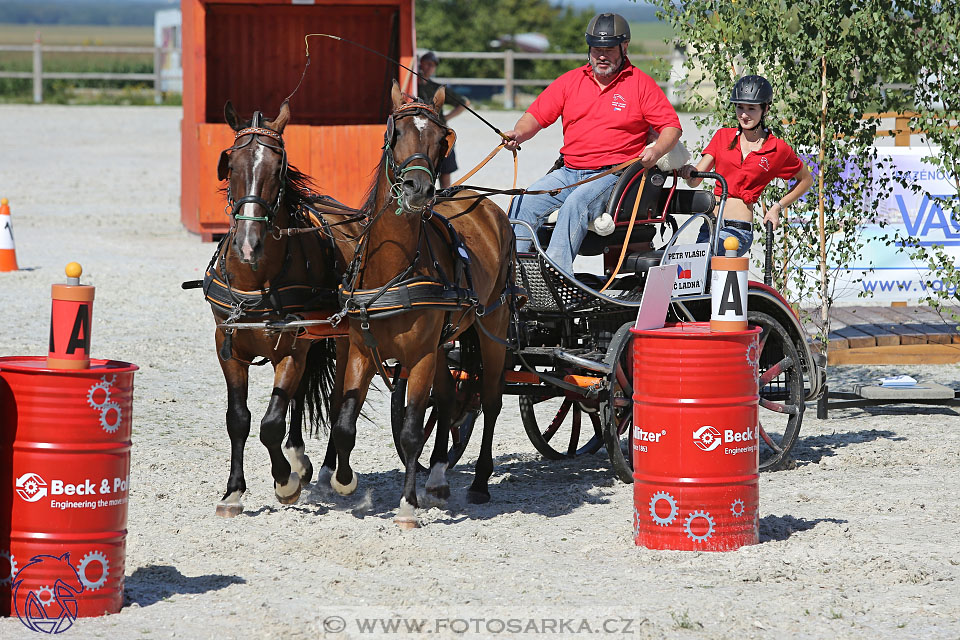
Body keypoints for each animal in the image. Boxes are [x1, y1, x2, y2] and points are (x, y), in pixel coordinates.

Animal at [207, 101, 344, 520]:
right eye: (231, 165)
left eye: (278, 168)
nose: (249, 243)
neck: (257, 279)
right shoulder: (228, 345)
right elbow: (238, 419)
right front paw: (233, 492)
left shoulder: (292, 347)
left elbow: (270, 423)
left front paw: (285, 483)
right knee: (298, 396)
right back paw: (299, 456)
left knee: (336, 400)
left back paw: (327, 471)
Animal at [328, 82, 516, 528]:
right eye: (394, 134)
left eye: (441, 139)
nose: (419, 189)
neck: (392, 270)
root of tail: (486, 204)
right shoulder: (362, 351)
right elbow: (345, 424)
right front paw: (345, 484)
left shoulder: (419, 356)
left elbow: (413, 429)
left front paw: (407, 506)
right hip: (442, 346)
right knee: (448, 399)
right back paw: (438, 476)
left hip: (493, 328)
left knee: (490, 400)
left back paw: (479, 483)